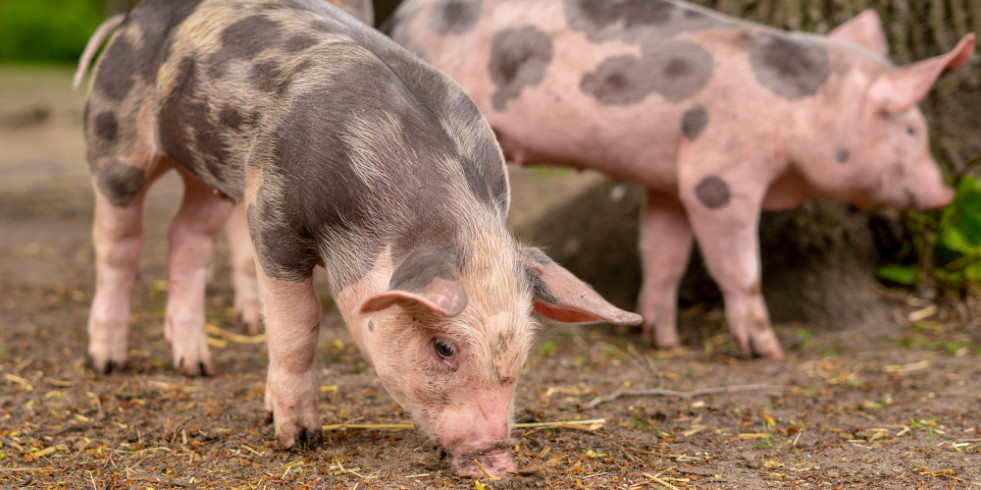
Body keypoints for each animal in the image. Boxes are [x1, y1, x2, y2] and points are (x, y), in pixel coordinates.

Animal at [386, 0, 976, 360]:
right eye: (910, 128)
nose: (946, 190)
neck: (803, 106)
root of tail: (405, 20)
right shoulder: (718, 175)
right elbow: (739, 267)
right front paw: (768, 351)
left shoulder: (669, 180)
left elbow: (665, 253)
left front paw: (664, 340)